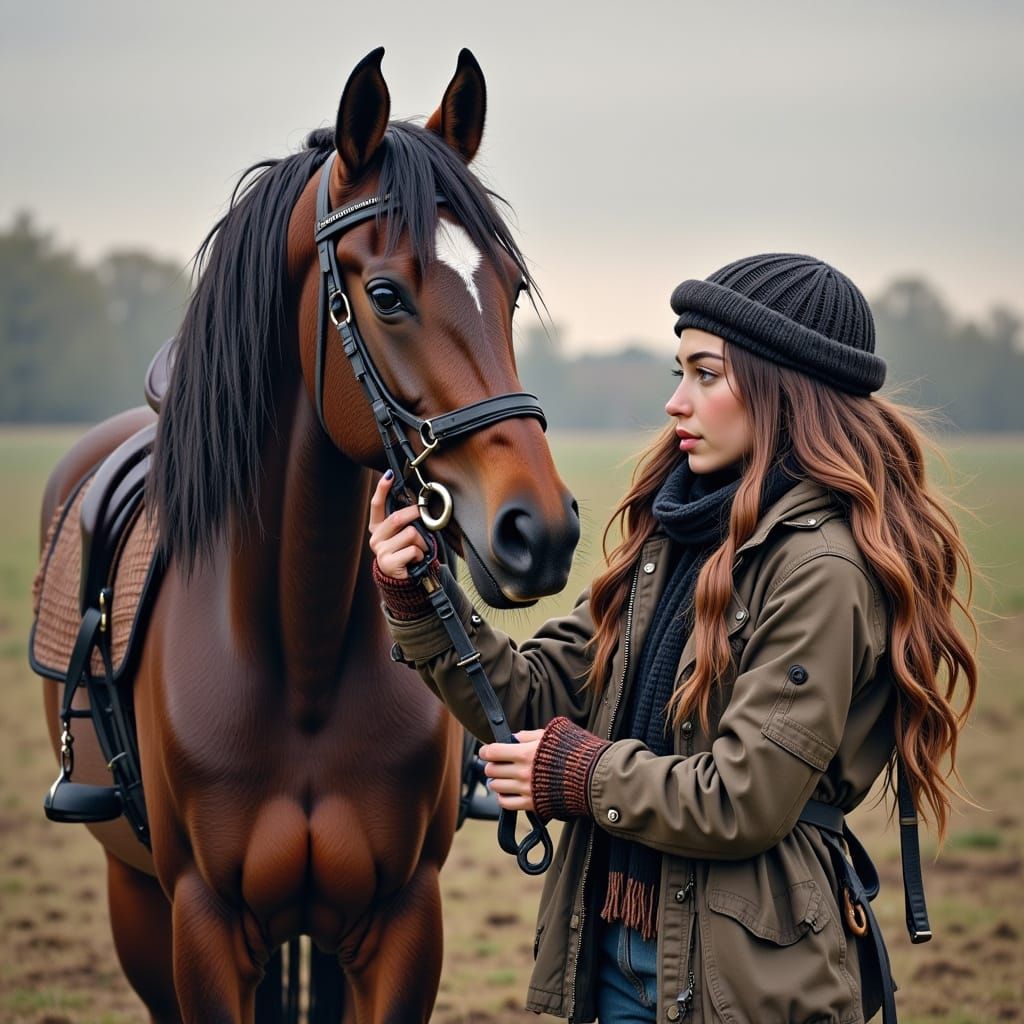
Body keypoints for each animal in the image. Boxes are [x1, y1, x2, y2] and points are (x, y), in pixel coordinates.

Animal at [34, 47, 579, 1022]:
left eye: (511, 292)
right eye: (387, 294)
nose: (539, 531)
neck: (301, 659)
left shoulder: (401, 923)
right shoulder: (203, 928)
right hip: (133, 896)